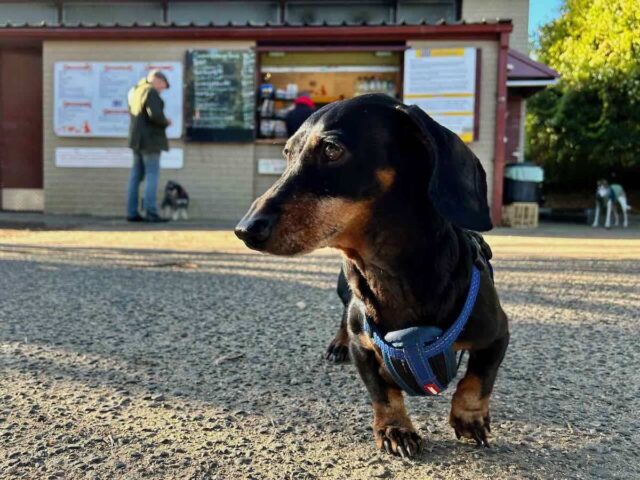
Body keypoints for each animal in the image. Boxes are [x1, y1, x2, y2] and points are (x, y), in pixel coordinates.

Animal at [235, 94, 510, 458]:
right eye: (287, 153)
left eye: (332, 150)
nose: (245, 229)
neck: (391, 275)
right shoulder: (363, 348)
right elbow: (382, 392)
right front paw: (396, 428)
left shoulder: (497, 335)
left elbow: (477, 380)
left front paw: (469, 418)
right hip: (345, 294)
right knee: (343, 316)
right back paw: (337, 344)